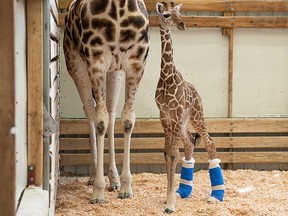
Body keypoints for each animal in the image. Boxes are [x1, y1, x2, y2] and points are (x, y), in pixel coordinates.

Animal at [62, 0, 148, 203]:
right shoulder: (96, 62)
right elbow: (100, 121)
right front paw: (98, 192)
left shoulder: (135, 63)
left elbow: (128, 120)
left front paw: (125, 187)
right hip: (76, 66)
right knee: (90, 112)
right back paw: (94, 176)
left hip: (115, 72)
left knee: (111, 111)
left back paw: (114, 179)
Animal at [155, 0, 225, 213]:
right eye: (166, 15)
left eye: (180, 13)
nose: (182, 24)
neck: (167, 77)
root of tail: (197, 92)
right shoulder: (164, 116)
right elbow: (167, 152)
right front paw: (169, 198)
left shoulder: (176, 114)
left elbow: (173, 153)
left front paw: (170, 204)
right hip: (184, 123)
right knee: (189, 144)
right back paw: (184, 191)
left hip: (196, 116)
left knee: (209, 142)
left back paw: (216, 195)